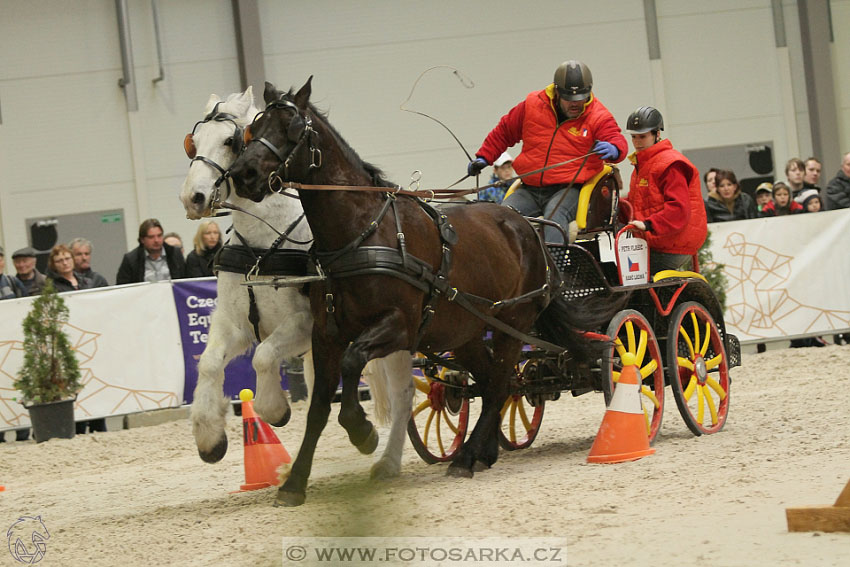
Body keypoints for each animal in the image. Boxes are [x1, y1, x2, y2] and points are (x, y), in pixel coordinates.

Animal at [178, 89, 410, 480]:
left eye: (229, 141)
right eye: (193, 143)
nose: (192, 198)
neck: (262, 247)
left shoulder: (305, 324)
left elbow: (263, 356)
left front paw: (273, 409)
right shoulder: (234, 323)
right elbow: (209, 363)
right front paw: (209, 438)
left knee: (403, 395)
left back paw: (387, 460)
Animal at [225, 79, 624, 506]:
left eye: (293, 129)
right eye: (253, 128)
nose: (243, 174)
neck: (360, 232)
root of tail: (527, 227)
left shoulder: (398, 327)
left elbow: (353, 362)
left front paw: (362, 432)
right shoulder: (326, 334)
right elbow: (317, 410)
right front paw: (294, 483)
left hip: (512, 322)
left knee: (501, 383)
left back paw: (464, 458)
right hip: (466, 333)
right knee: (493, 383)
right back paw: (483, 452)